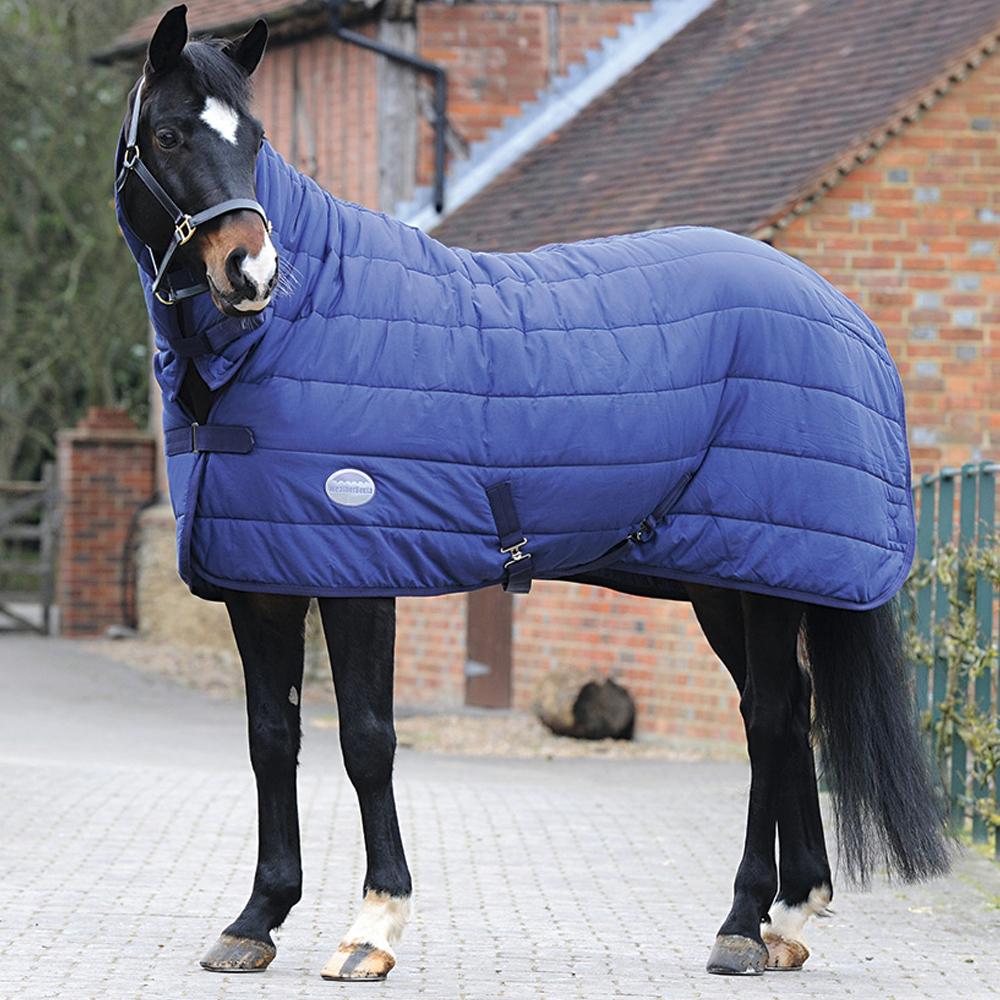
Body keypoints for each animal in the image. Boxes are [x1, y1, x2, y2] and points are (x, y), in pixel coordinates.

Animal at [114, 4, 949, 983]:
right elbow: (269, 739)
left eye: (253, 140)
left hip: (770, 579)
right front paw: (256, 919)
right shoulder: (263, 582)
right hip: (727, 583)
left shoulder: (360, 579)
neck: (301, 326)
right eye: (170, 135)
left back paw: (743, 923)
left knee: (773, 719)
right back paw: (791, 915)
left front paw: (373, 927)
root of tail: (845, 315)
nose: (250, 271)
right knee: (790, 713)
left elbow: (366, 739)